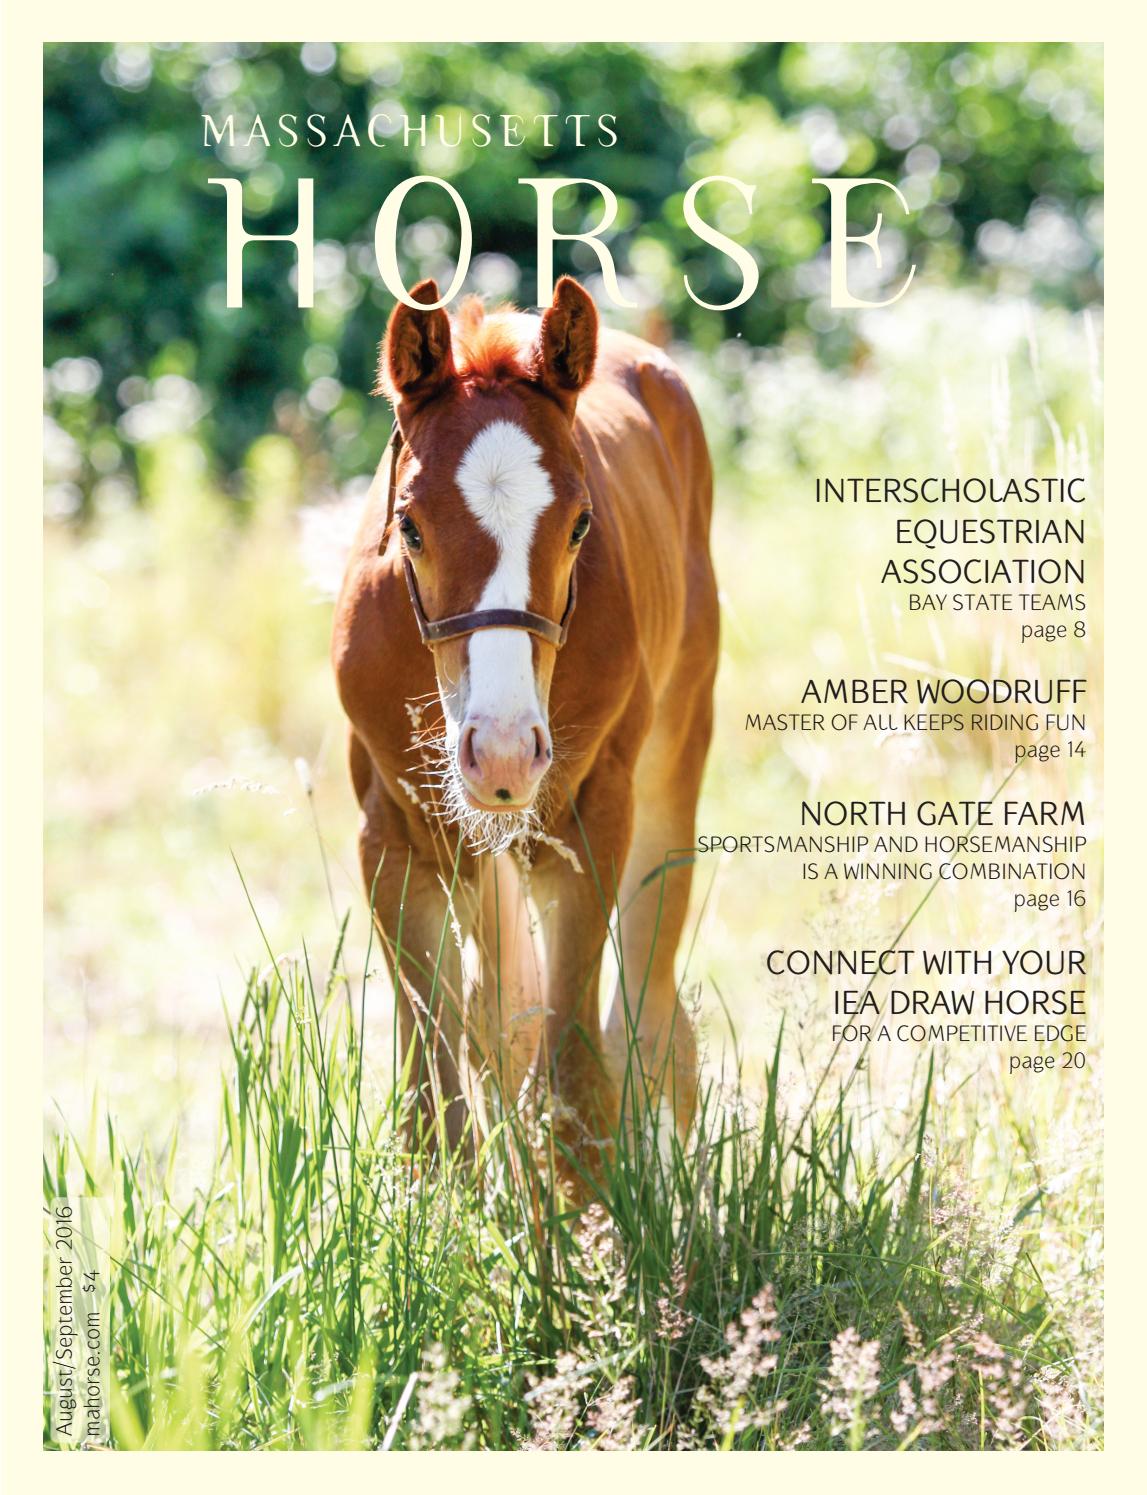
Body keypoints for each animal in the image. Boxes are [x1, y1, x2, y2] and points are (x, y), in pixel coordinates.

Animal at [332, 275, 719, 1178]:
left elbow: (572, 1075)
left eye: (579, 523)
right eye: (409, 525)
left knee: (648, 1010)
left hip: (672, 757)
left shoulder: (585, 820)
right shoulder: (394, 835)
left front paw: (595, 1214)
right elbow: (436, 1095)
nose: (504, 753)